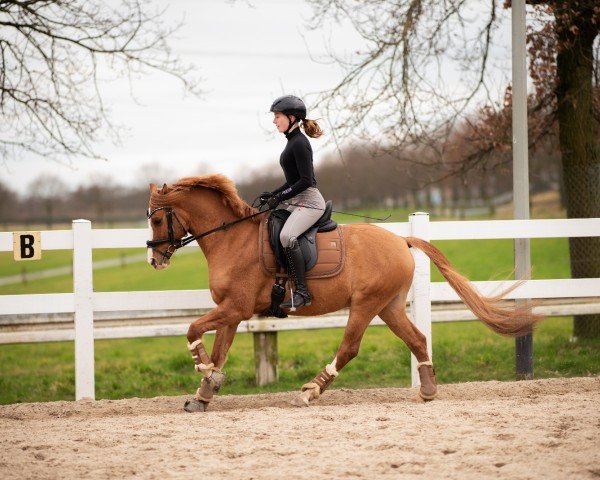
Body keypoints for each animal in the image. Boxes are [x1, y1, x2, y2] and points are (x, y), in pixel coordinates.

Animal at [146, 174, 544, 410]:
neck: (232, 238)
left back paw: (312, 389)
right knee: (416, 339)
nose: (154, 259)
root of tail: (401, 239)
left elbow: (193, 330)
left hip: (366, 304)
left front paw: (202, 367)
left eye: (157, 218)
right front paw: (205, 391)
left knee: (350, 347)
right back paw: (428, 391)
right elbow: (220, 350)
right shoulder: (231, 311)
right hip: (389, 306)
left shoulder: (237, 308)